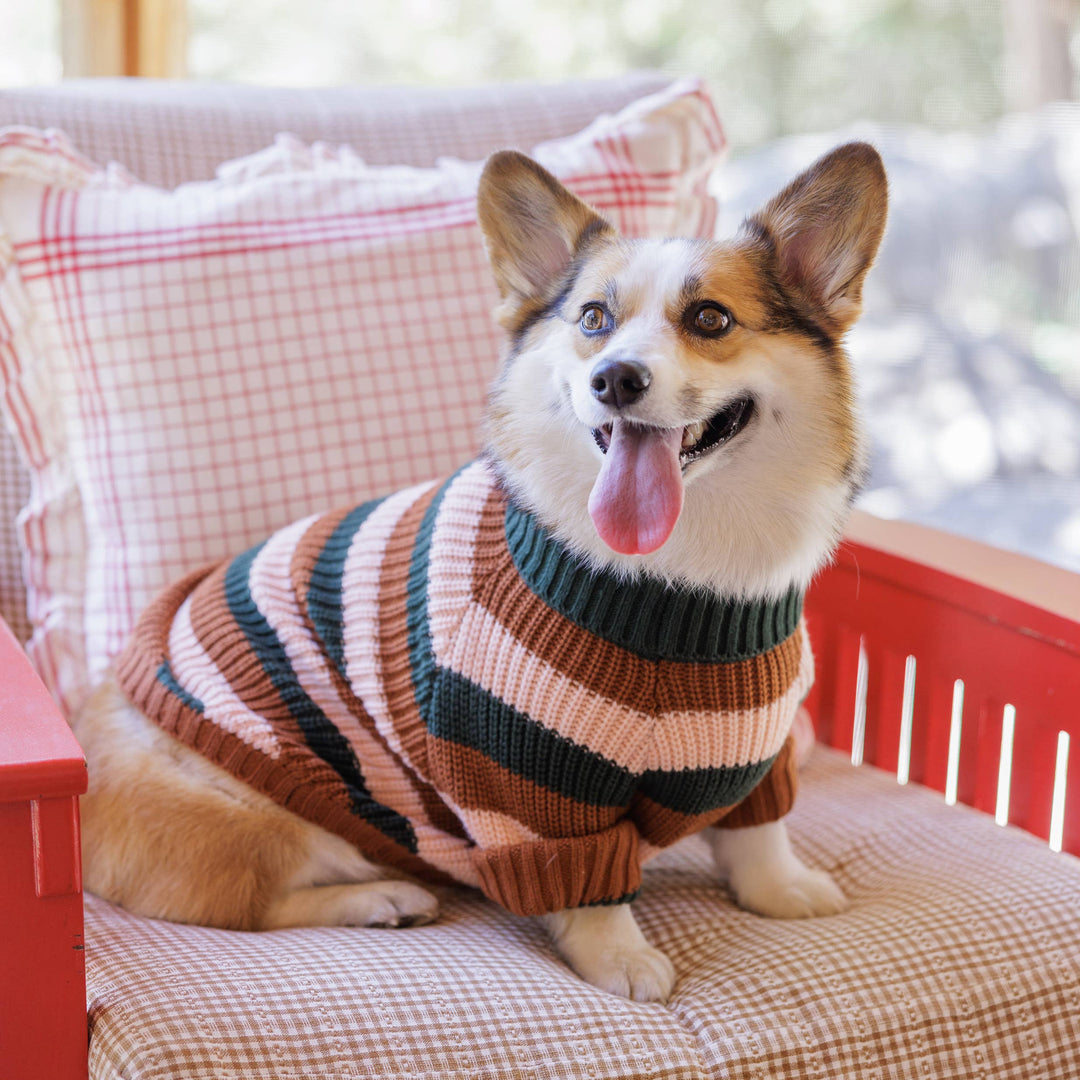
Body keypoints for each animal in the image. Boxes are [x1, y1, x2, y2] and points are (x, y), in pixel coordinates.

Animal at [73, 143, 885, 1002]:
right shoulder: (531, 785)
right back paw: (383, 899)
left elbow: (758, 834)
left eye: (710, 319)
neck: (676, 585)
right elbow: (588, 888)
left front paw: (782, 890)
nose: (614, 379)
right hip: (254, 814)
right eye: (592, 319)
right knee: (247, 904)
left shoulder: (755, 756)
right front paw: (621, 958)